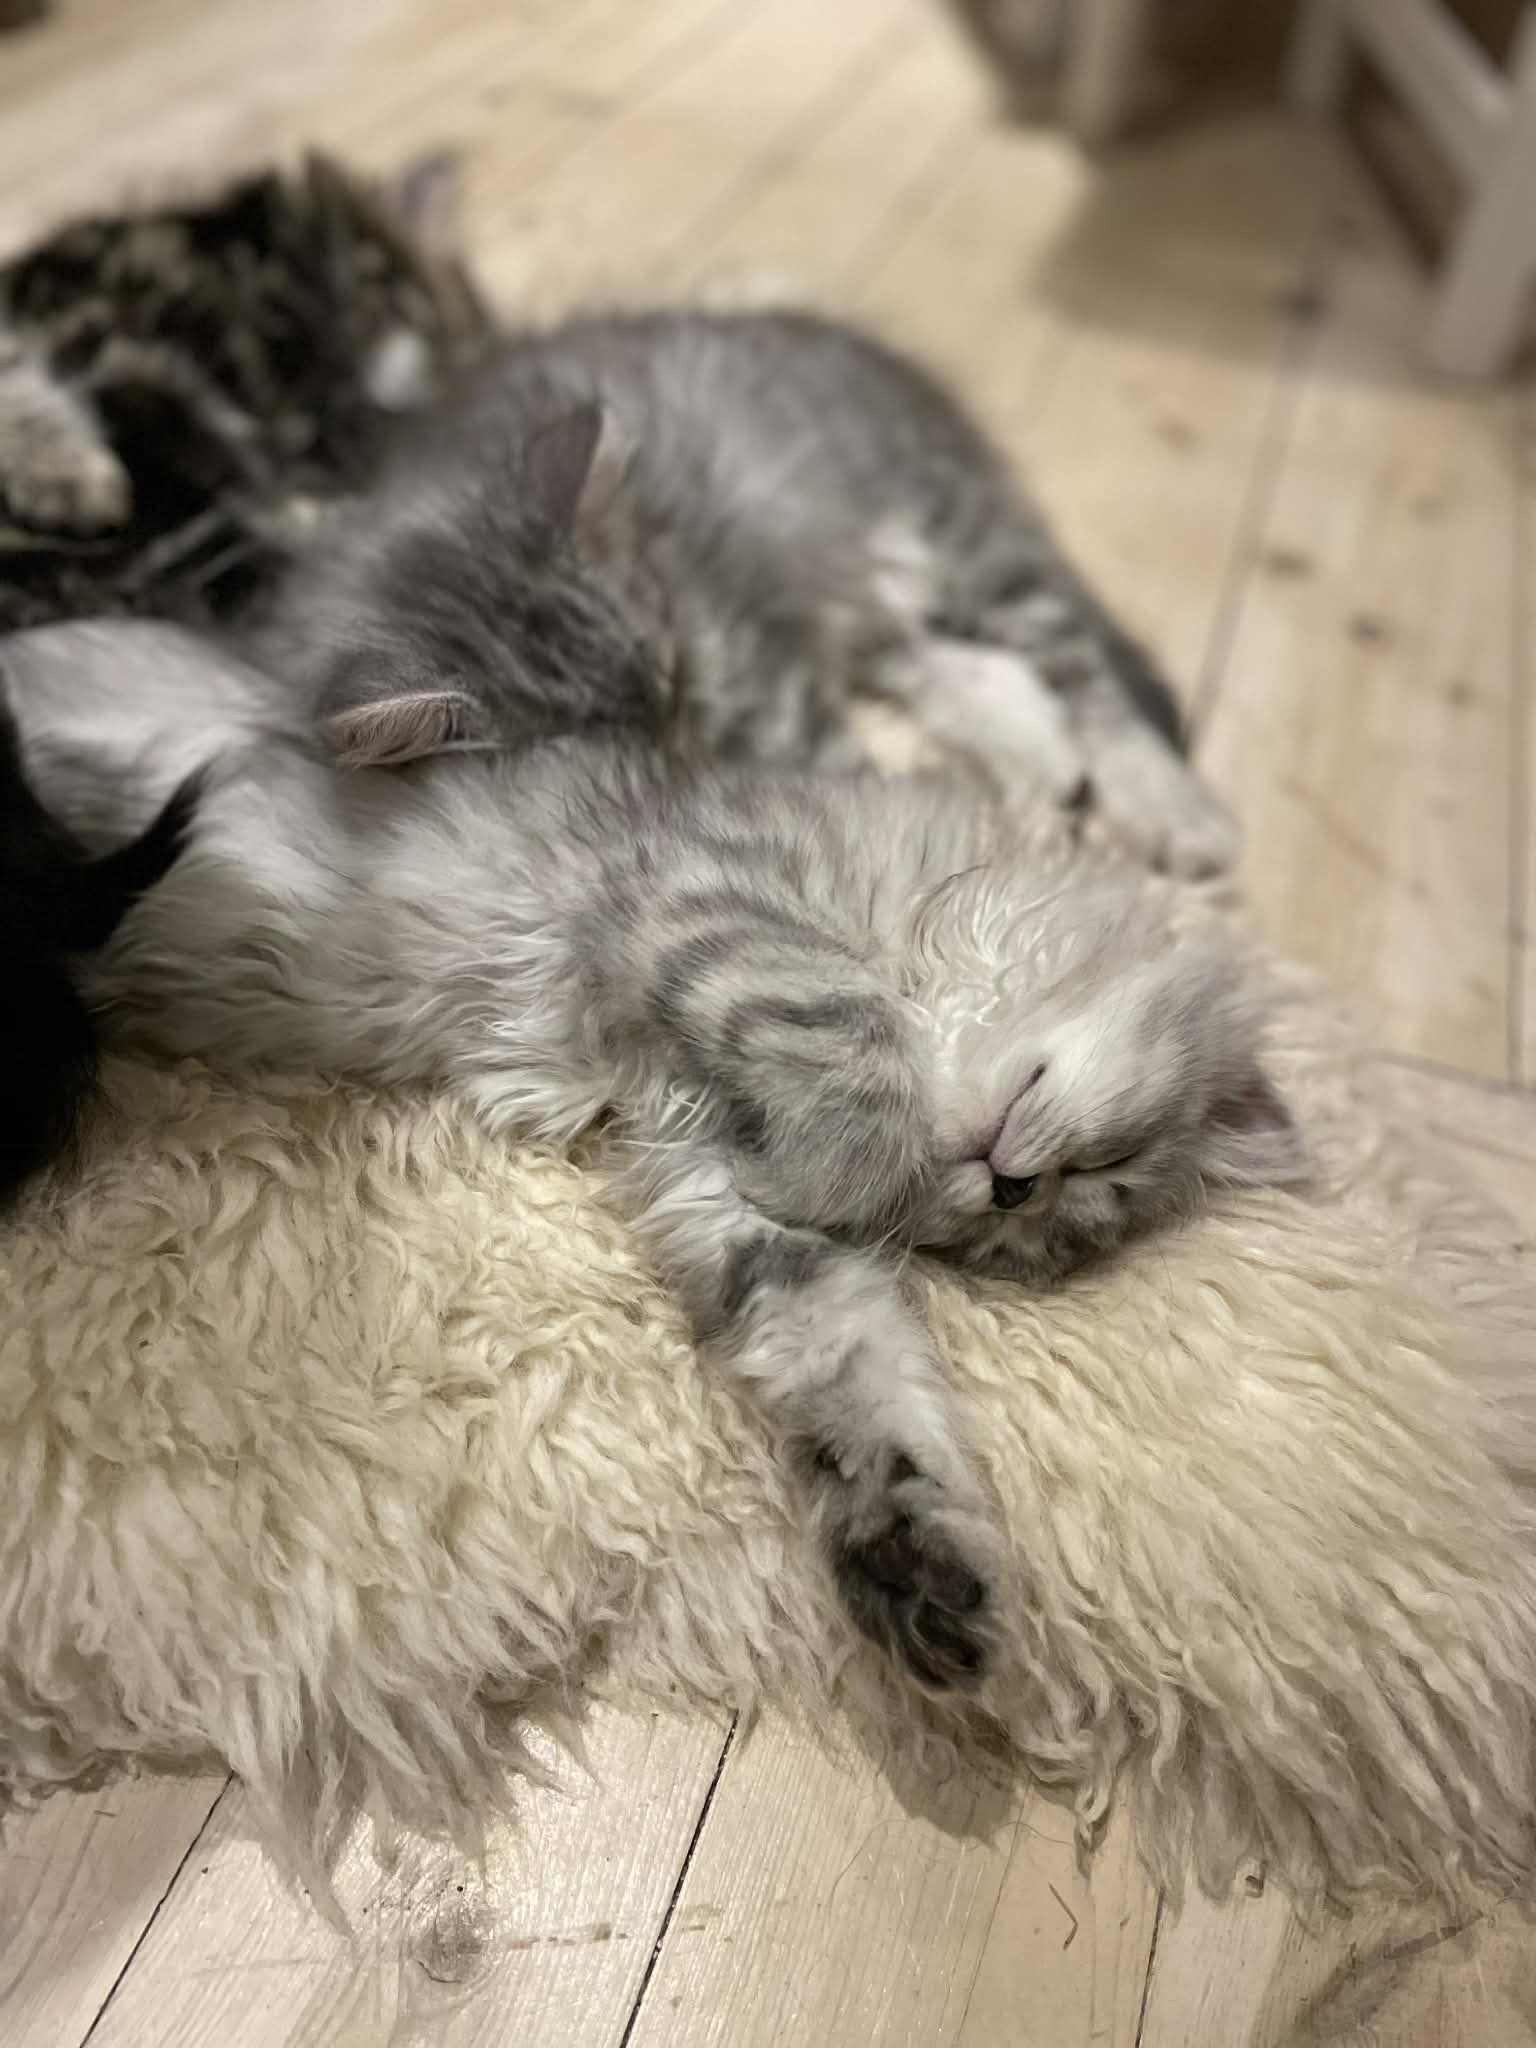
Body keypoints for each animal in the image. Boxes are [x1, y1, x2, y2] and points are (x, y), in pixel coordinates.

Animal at [1, 617, 1304, 1688]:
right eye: (1102, 1171)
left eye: (1036, 1225)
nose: (1011, 1185)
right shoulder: (707, 894)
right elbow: (849, 1051)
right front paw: (853, 1156)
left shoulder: (719, 1189)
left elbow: (860, 1378)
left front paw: (914, 1554)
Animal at [256, 308, 1240, 880]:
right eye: (602, 753)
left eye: (675, 680)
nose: (682, 749)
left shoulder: (757, 661)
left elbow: (852, 781)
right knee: (942, 657)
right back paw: (1030, 750)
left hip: (965, 537)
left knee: (1082, 671)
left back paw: (1171, 808)